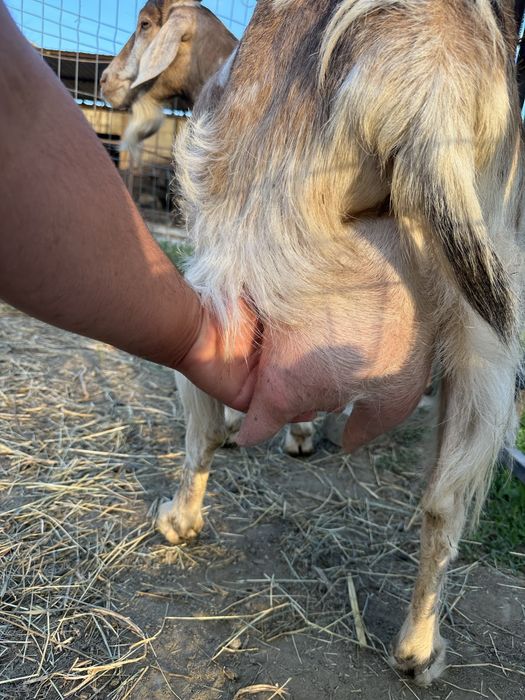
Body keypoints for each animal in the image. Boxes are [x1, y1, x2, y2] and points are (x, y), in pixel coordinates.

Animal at [157, 0, 524, 684]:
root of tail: (430, 68)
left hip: (238, 255)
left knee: (203, 414)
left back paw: (179, 519)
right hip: (486, 328)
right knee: (444, 501)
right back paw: (417, 652)